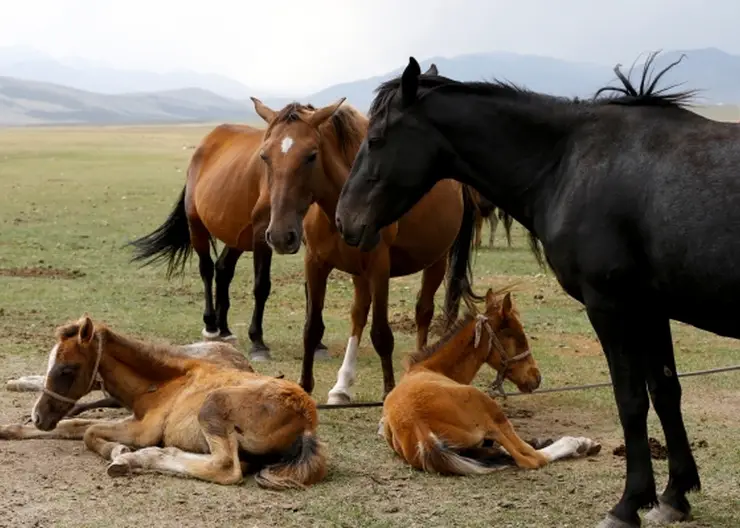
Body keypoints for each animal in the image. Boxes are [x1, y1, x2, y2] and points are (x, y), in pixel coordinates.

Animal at [0, 314, 326, 490]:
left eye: (67, 369)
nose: (39, 417)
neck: (163, 383)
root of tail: (307, 420)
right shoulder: (132, 418)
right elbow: (75, 424)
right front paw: (11, 430)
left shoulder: (143, 430)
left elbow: (89, 432)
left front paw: (119, 453)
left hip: (212, 406)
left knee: (225, 467)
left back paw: (144, 457)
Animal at [129, 119, 326, 358]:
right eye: (266, 158)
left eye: (311, 156)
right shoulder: (263, 234)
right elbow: (262, 286)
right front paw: (257, 341)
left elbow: (312, 288)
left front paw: (317, 343)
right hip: (198, 227)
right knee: (206, 269)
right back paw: (211, 325)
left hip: (237, 238)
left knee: (223, 269)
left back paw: (224, 328)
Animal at [249, 66, 480, 404]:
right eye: (265, 156)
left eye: (311, 156)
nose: (280, 235)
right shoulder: (316, 264)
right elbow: (312, 328)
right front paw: (306, 387)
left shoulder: (379, 267)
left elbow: (382, 334)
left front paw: (389, 392)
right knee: (359, 314)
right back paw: (342, 386)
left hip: (435, 261)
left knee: (423, 312)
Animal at [382, 288, 600, 474]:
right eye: (518, 337)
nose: (536, 378)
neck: (430, 368)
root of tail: (422, 431)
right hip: (493, 413)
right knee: (529, 457)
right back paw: (580, 443)